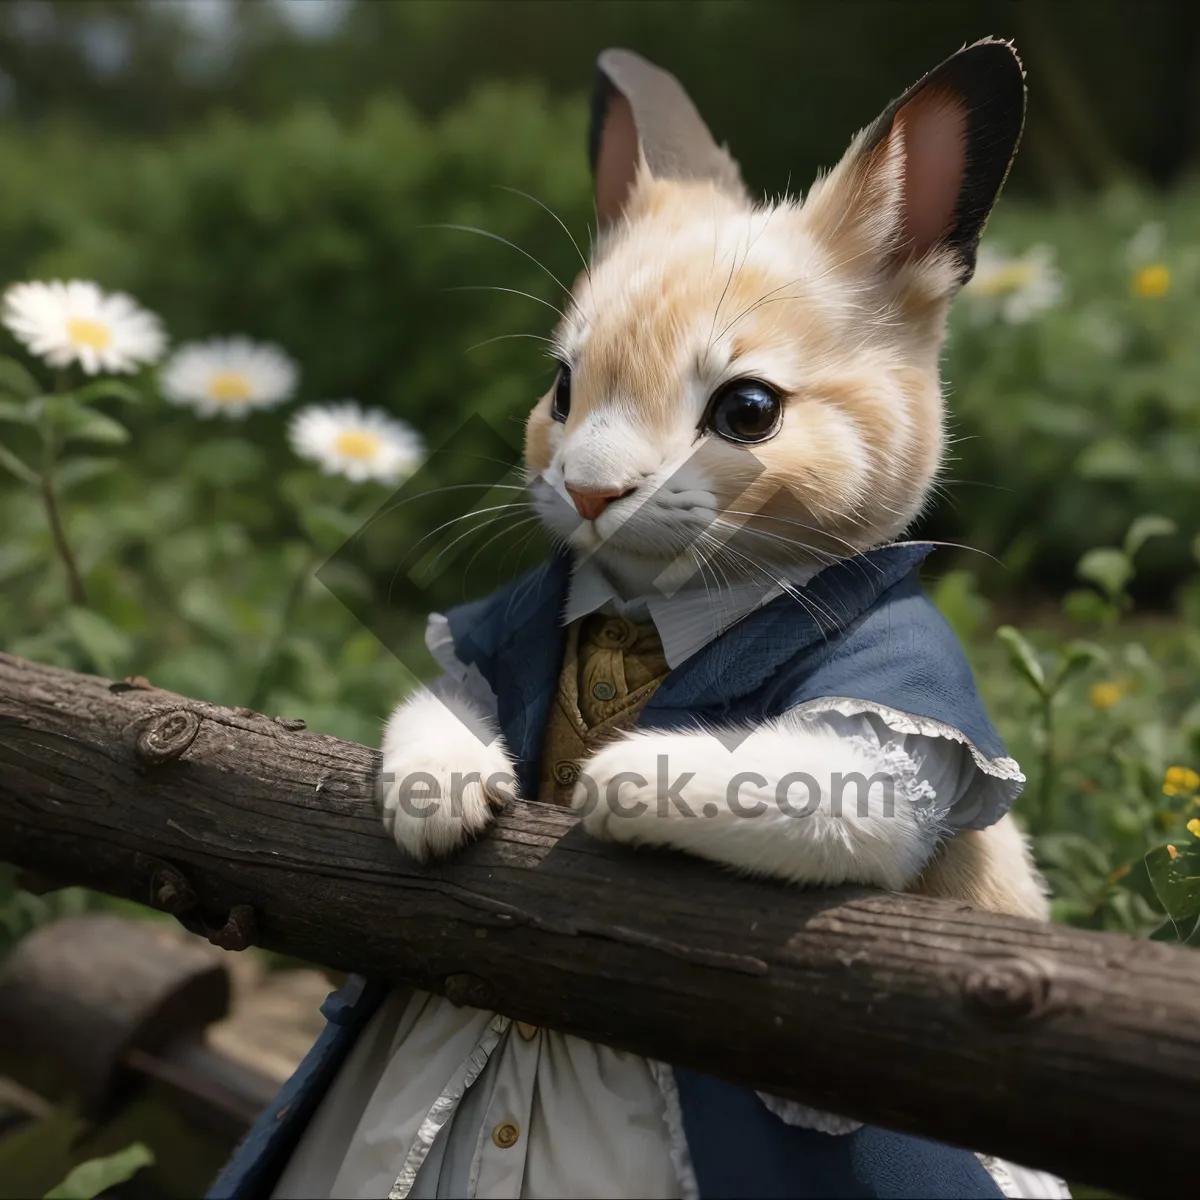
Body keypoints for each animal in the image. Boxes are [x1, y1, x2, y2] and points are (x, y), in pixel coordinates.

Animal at [213, 37, 1070, 1200]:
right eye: (562, 387)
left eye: (748, 410)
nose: (587, 490)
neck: (647, 609)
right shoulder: (483, 646)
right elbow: (439, 705)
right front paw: (446, 802)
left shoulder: (898, 721)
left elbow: (827, 789)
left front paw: (610, 785)